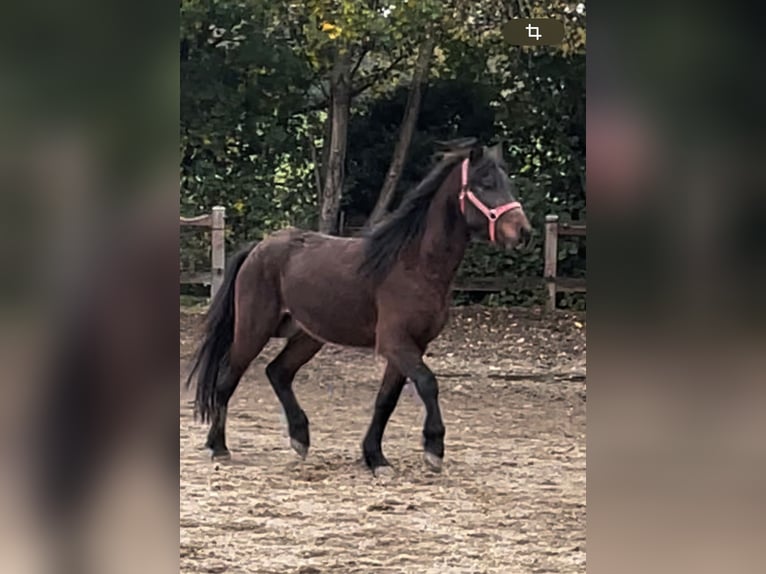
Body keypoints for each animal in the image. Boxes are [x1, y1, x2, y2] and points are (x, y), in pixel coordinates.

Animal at [187, 140, 536, 476]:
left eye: (508, 182)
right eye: (485, 183)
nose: (524, 231)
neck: (414, 266)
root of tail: (258, 248)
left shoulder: (411, 347)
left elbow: (386, 401)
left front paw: (375, 458)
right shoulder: (396, 343)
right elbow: (428, 384)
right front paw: (433, 449)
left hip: (308, 336)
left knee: (278, 372)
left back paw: (300, 438)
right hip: (253, 329)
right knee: (227, 380)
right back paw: (218, 447)